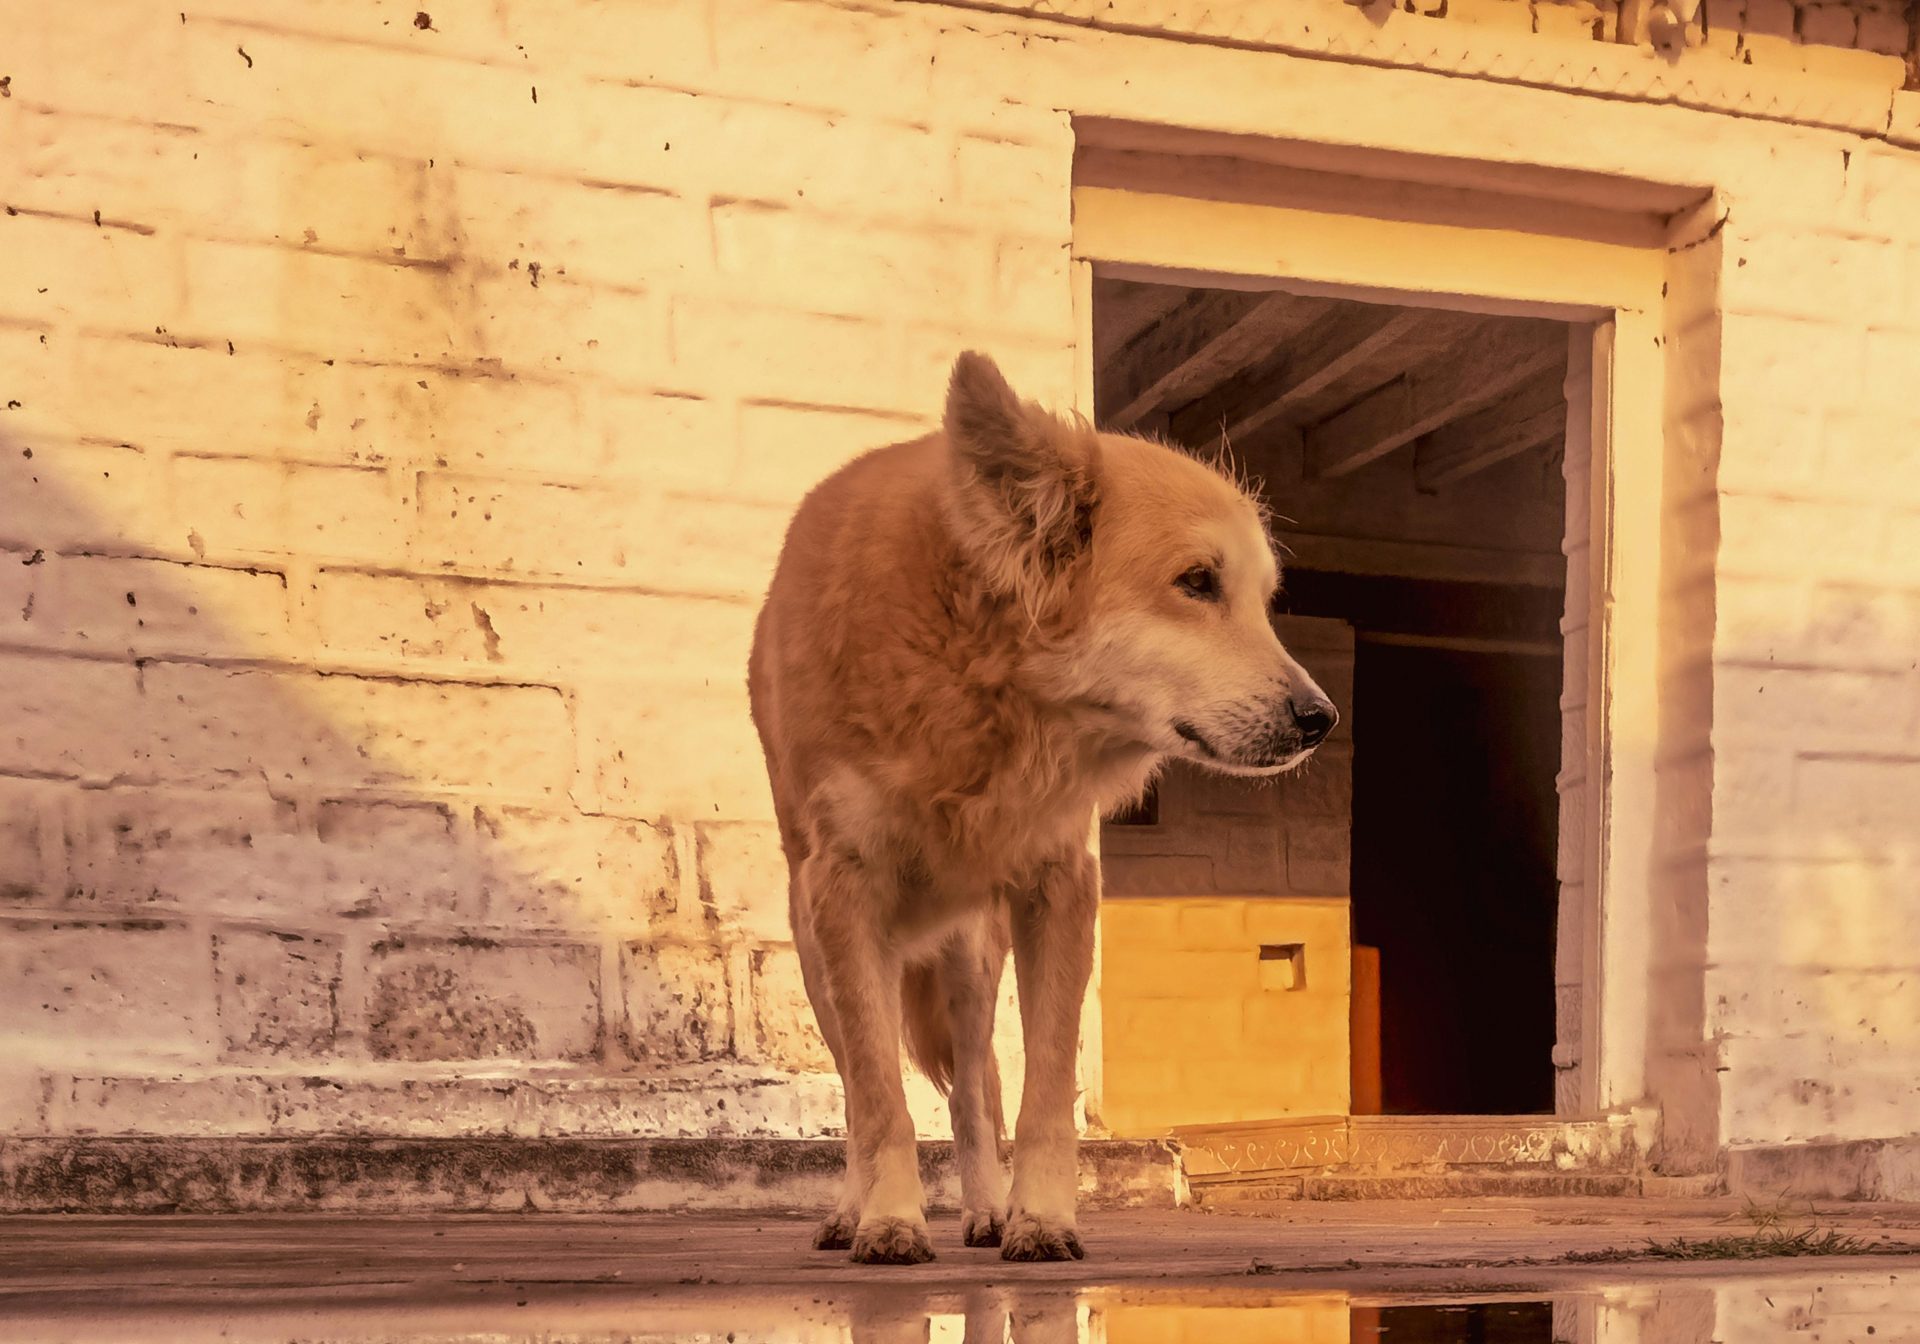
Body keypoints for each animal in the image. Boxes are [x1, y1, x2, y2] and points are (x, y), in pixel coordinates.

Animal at [744, 349, 1336, 1259]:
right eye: (1197, 583)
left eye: (1261, 599)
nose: (1322, 719)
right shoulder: (845, 892)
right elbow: (878, 1100)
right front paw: (888, 1219)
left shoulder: (1058, 882)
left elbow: (1046, 1090)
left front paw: (1042, 1218)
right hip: (817, 953)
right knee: (858, 1084)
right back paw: (853, 1211)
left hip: (969, 959)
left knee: (974, 1092)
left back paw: (987, 1209)